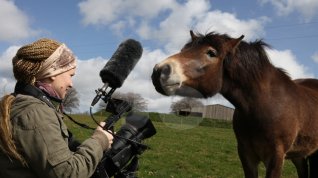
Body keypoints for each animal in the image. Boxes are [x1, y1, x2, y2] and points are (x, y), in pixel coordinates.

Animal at [150, 29, 318, 177]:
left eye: (211, 53)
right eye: (184, 49)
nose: (159, 71)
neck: (266, 102)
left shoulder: (276, 158)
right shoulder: (246, 155)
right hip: (299, 155)